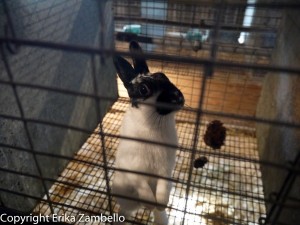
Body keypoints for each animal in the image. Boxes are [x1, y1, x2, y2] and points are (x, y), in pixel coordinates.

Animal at [112, 41, 184, 224]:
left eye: (163, 76)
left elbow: (162, 188)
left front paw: (161, 205)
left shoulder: (165, 169)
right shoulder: (134, 169)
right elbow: (143, 186)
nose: (178, 97)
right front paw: (151, 204)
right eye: (143, 89)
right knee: (126, 210)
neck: (153, 124)